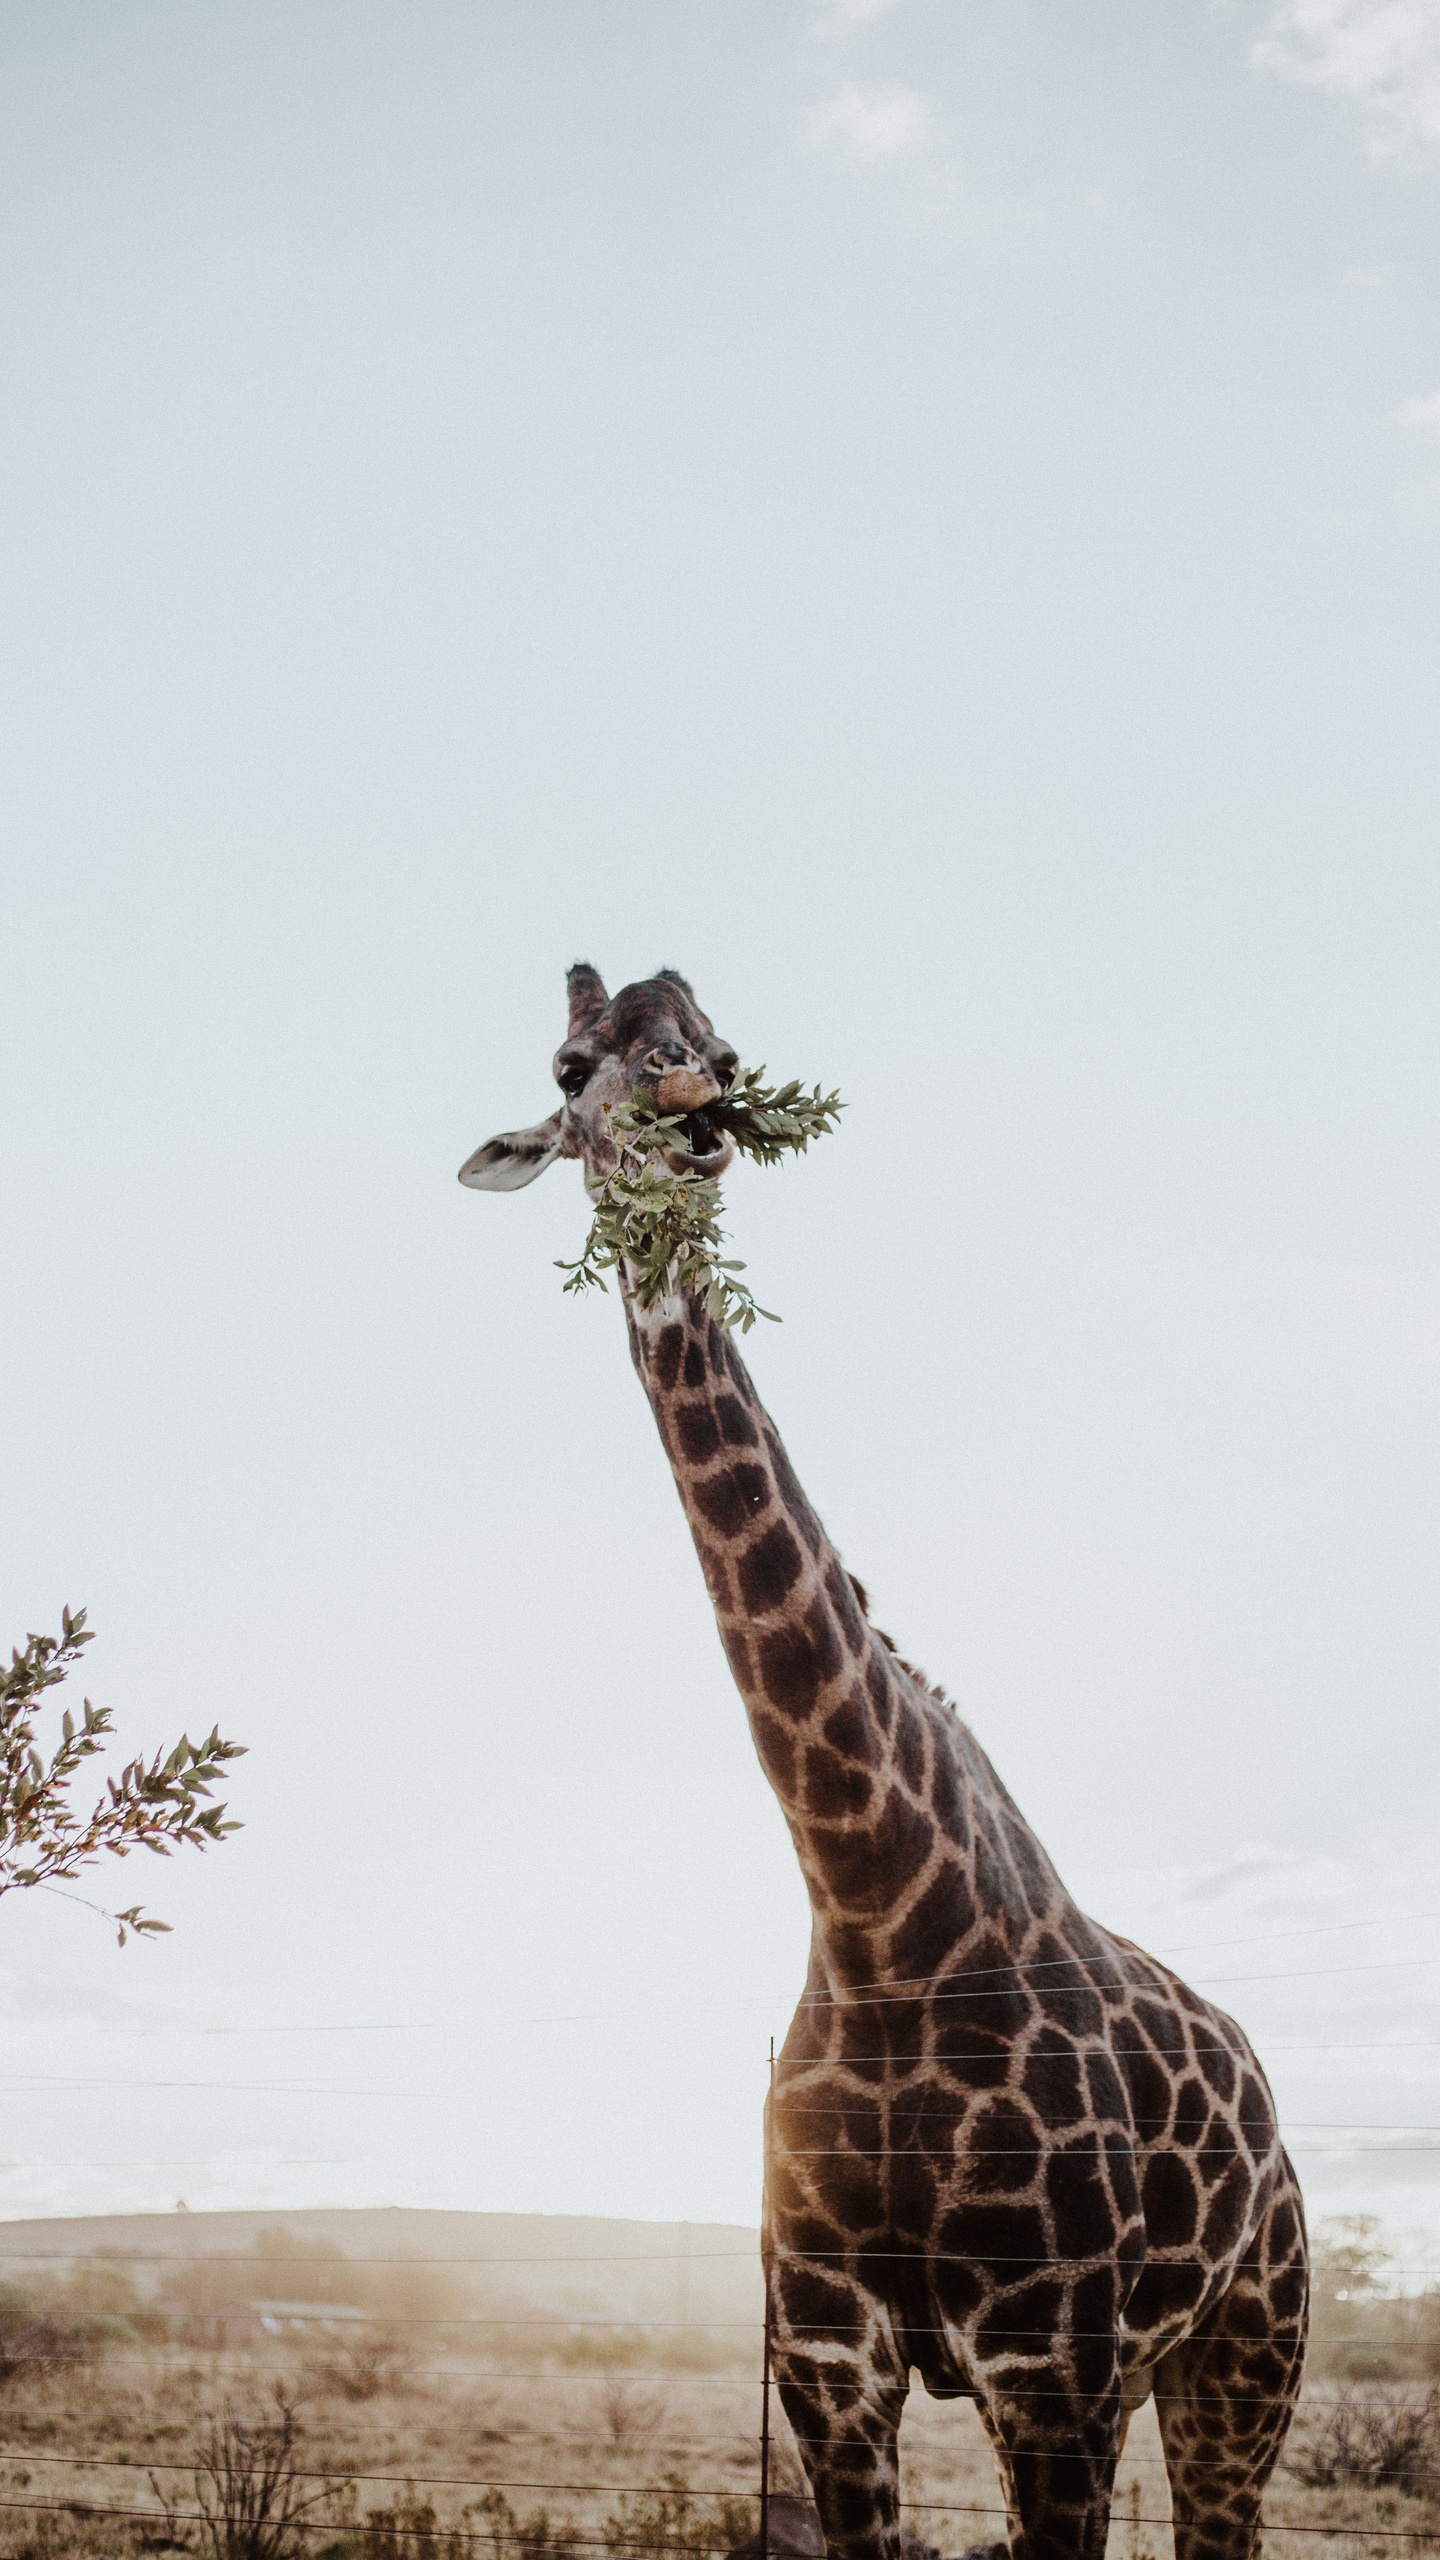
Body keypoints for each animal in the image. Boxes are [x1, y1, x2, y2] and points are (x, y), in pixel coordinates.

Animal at [456, 967, 1301, 2560]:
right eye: (572, 1064)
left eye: (721, 1045)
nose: (694, 1107)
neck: (874, 1904)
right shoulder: (828, 2359)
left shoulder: (1053, 2366)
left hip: (1247, 2355)